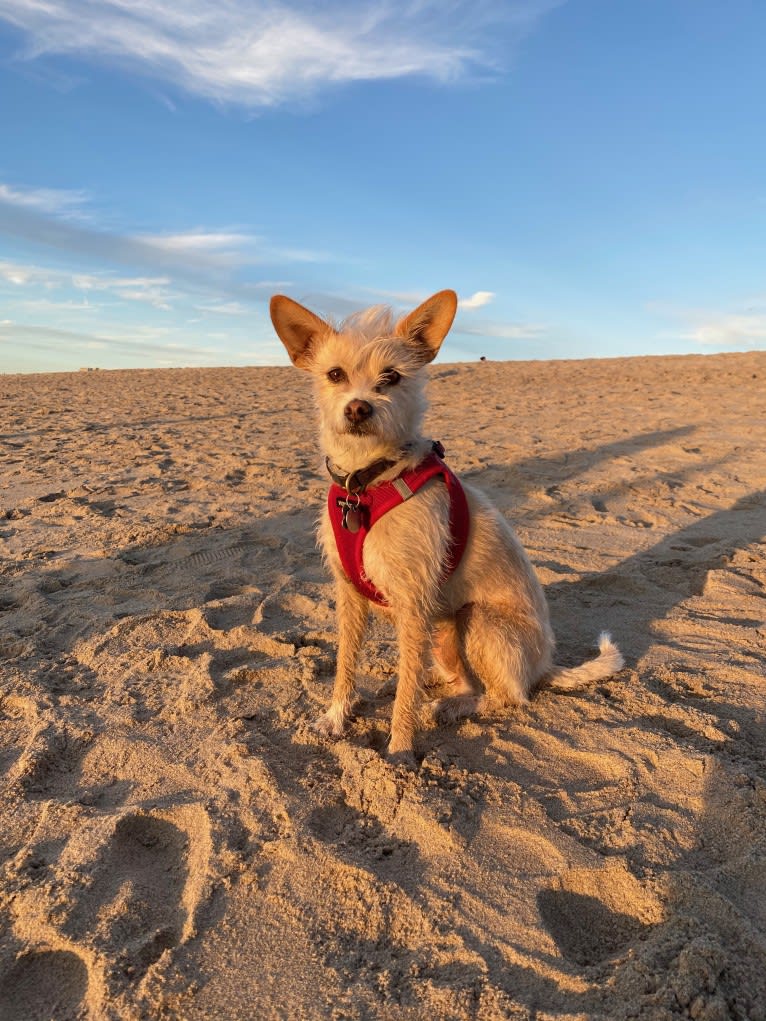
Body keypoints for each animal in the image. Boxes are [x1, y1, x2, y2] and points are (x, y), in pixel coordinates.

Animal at [269, 287, 625, 759]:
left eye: (391, 377)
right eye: (334, 374)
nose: (358, 408)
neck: (369, 483)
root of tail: (544, 666)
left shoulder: (413, 602)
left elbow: (407, 696)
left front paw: (399, 751)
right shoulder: (350, 596)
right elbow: (346, 663)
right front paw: (336, 717)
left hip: (474, 620)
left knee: (504, 696)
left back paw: (447, 707)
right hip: (441, 631)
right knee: (450, 676)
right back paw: (428, 687)